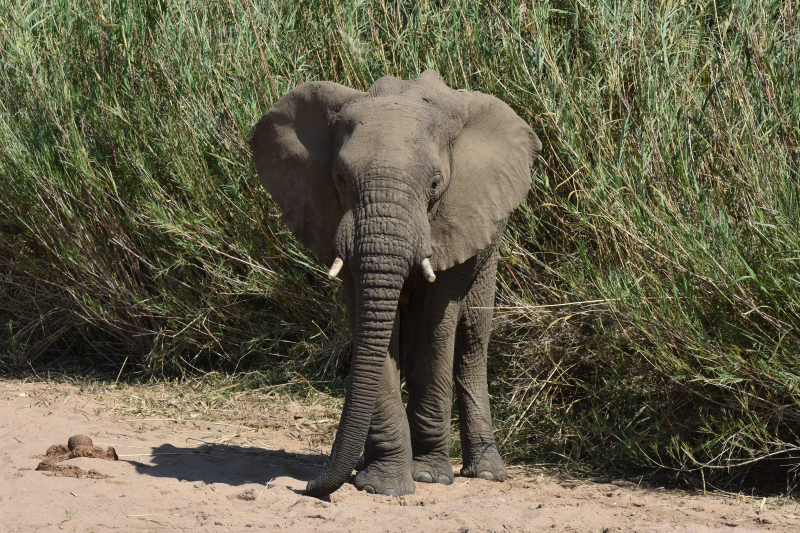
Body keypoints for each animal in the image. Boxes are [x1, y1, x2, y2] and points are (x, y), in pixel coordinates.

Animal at [247, 68, 540, 496]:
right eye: (339, 177)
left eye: (435, 183)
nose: (307, 487)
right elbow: (368, 319)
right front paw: (380, 484)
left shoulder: (456, 217)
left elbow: (436, 322)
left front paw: (428, 476)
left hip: (490, 244)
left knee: (472, 342)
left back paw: (485, 472)